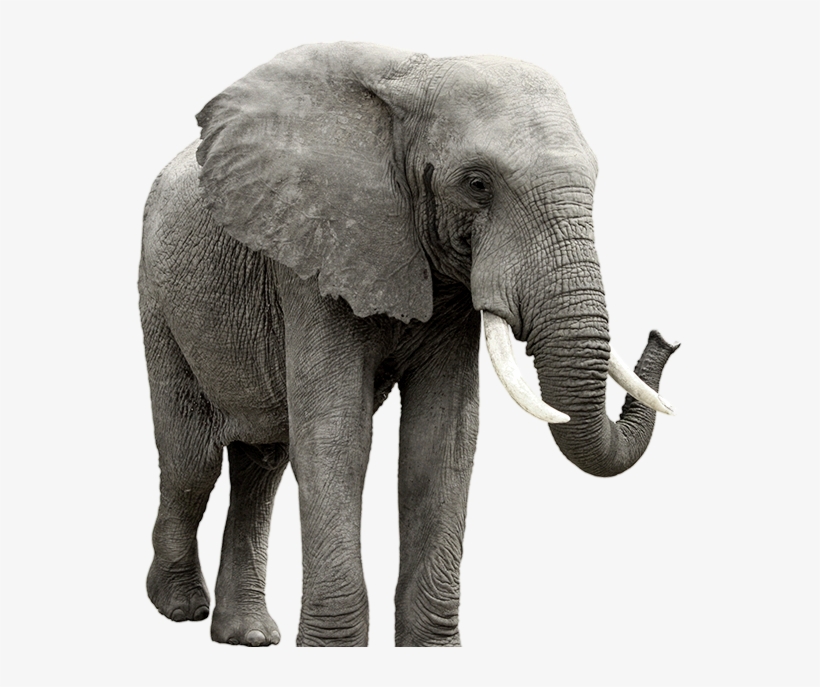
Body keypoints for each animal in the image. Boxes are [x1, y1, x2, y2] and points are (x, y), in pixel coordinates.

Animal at [139, 42, 678, 648]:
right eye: (477, 184)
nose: (663, 337)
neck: (410, 81)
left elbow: (441, 440)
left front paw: (430, 649)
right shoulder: (314, 254)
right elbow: (336, 437)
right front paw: (334, 652)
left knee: (262, 462)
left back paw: (248, 637)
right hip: (160, 303)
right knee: (192, 459)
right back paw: (179, 606)